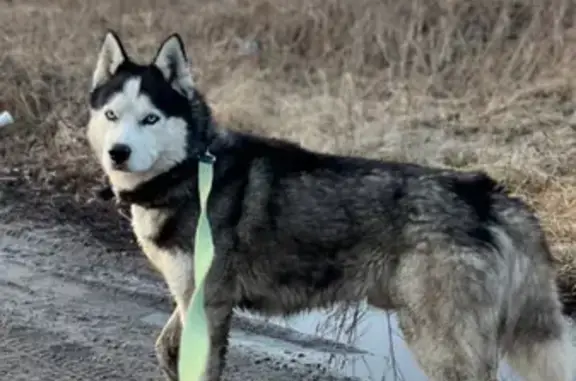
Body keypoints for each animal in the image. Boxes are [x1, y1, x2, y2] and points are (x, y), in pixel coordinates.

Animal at [88, 30, 572, 380]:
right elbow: (166, 350)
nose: (118, 153)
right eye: (112, 115)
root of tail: (487, 193)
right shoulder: (193, 298)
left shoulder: (208, 306)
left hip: (438, 340)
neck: (190, 170)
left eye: (150, 119)